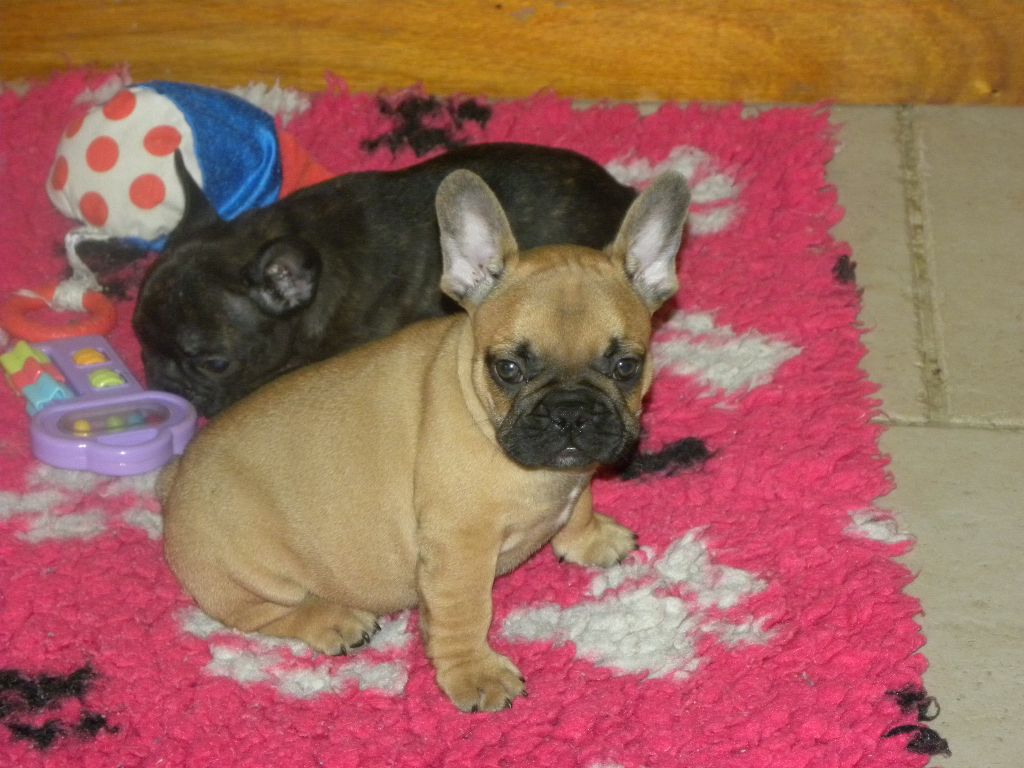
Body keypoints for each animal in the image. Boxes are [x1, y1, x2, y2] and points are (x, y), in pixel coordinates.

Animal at [160, 169, 690, 712]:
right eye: (508, 369)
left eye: (626, 366)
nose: (571, 412)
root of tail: (174, 481)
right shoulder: (459, 548)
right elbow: (465, 613)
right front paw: (474, 673)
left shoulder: (575, 473)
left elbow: (581, 502)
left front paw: (590, 538)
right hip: (245, 576)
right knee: (267, 614)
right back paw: (334, 620)